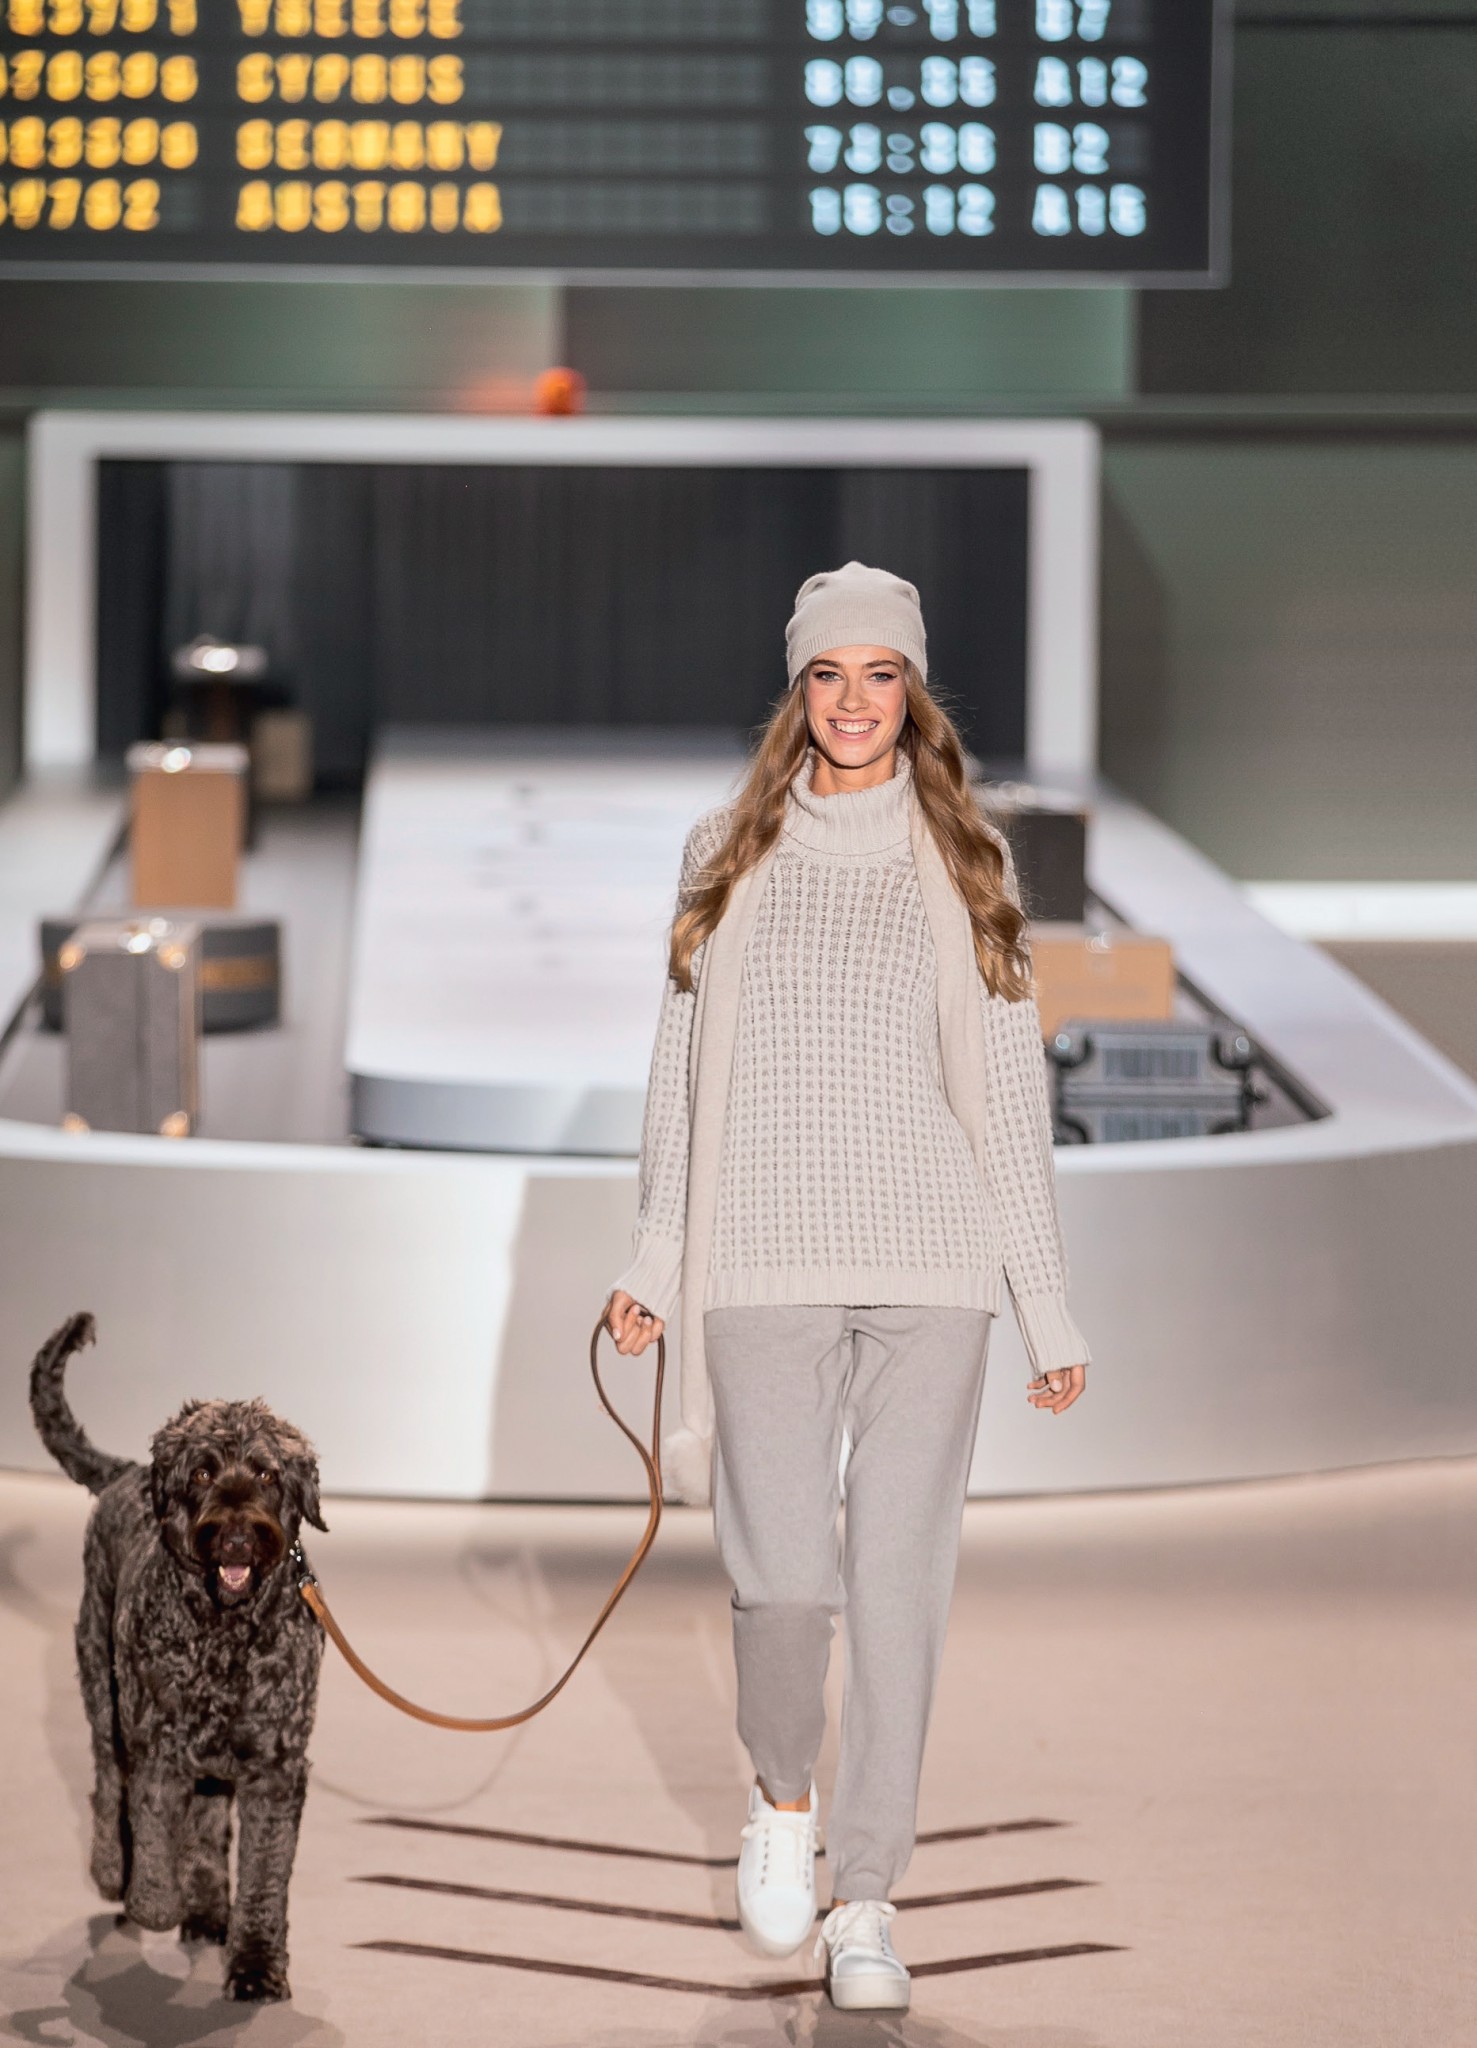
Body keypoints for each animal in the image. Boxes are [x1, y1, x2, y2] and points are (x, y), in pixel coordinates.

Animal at [30, 1311, 327, 2002]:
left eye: (267, 1474)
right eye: (202, 1474)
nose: (238, 1533)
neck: (226, 1637)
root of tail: (125, 1473)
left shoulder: (275, 1770)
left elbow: (265, 1875)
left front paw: (256, 1964)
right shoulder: (160, 1749)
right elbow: (156, 1830)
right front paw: (153, 1902)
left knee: (207, 1828)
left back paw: (210, 1912)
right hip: (102, 1688)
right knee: (109, 1785)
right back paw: (115, 1873)